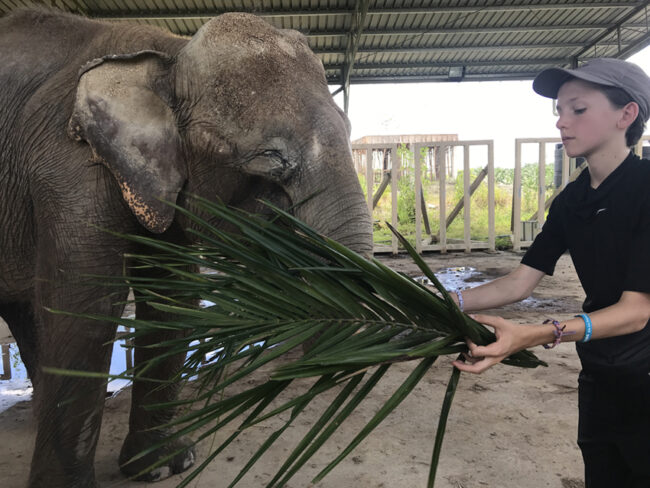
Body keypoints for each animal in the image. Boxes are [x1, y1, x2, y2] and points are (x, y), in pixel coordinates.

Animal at [0, 7, 372, 488]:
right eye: (270, 157)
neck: (168, 54)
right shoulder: (66, 168)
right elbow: (85, 304)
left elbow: (172, 297)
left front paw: (165, 466)